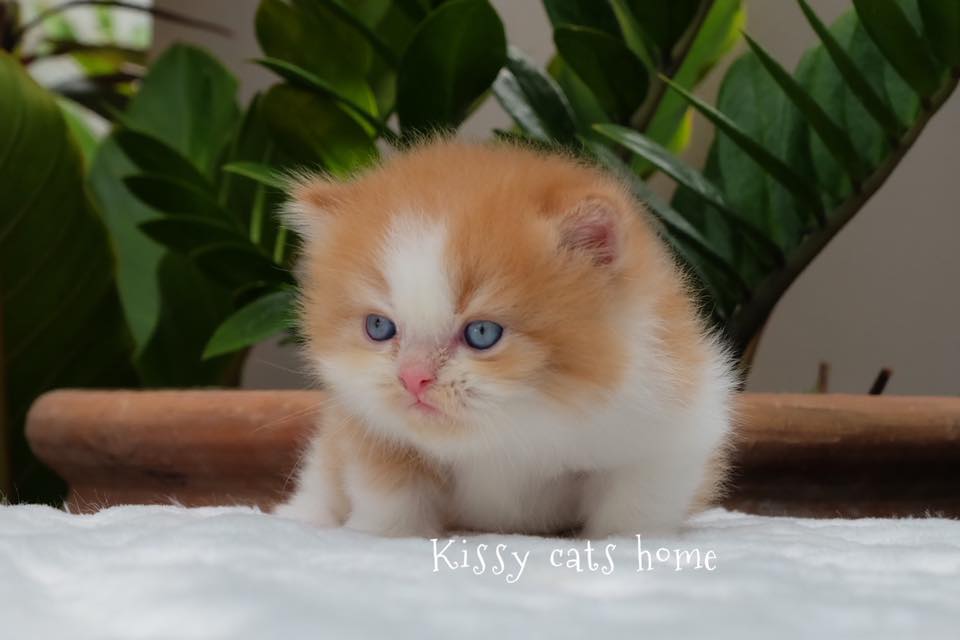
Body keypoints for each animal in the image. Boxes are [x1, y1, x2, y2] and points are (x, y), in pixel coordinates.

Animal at [273, 140, 735, 538]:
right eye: (378, 327)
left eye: (482, 333)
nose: (413, 378)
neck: (514, 428)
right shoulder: (367, 424)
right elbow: (388, 490)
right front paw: (386, 533)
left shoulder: (669, 423)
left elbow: (635, 505)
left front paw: (626, 543)